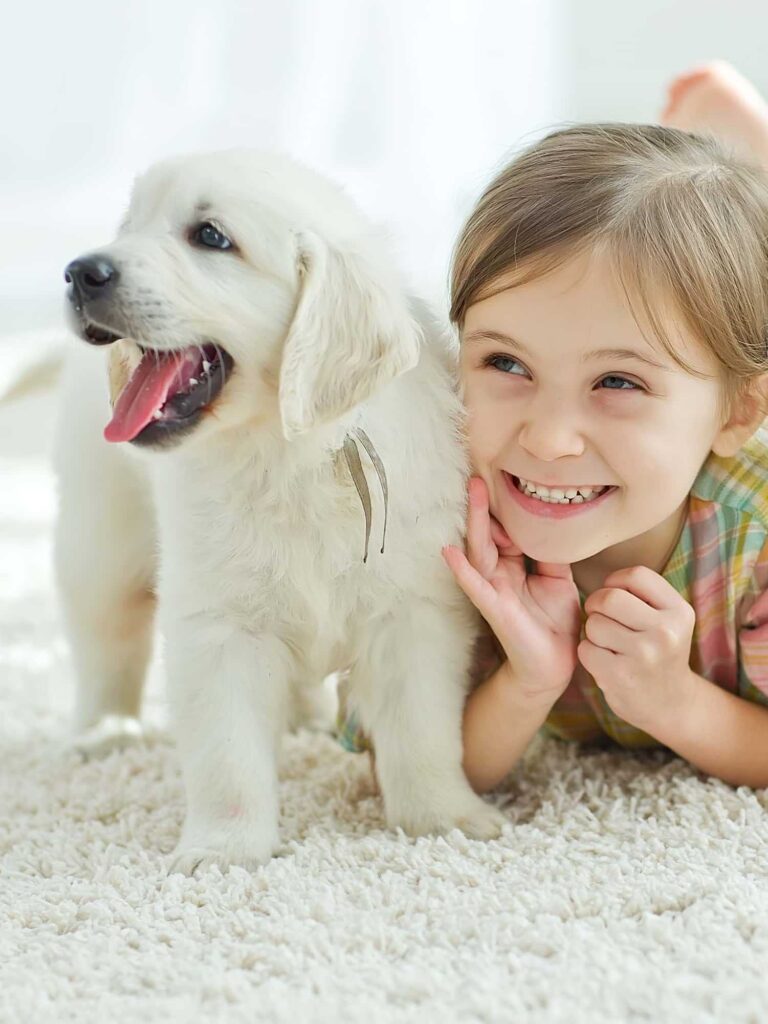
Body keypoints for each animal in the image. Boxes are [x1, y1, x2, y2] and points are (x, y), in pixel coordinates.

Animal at [55, 151, 512, 872]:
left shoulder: (416, 610)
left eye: (210, 237)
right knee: (106, 642)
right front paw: (224, 850)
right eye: (129, 227)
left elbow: (422, 731)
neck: (286, 452)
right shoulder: (217, 625)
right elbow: (228, 756)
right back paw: (105, 731)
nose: (78, 271)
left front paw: (444, 818)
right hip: (99, 536)